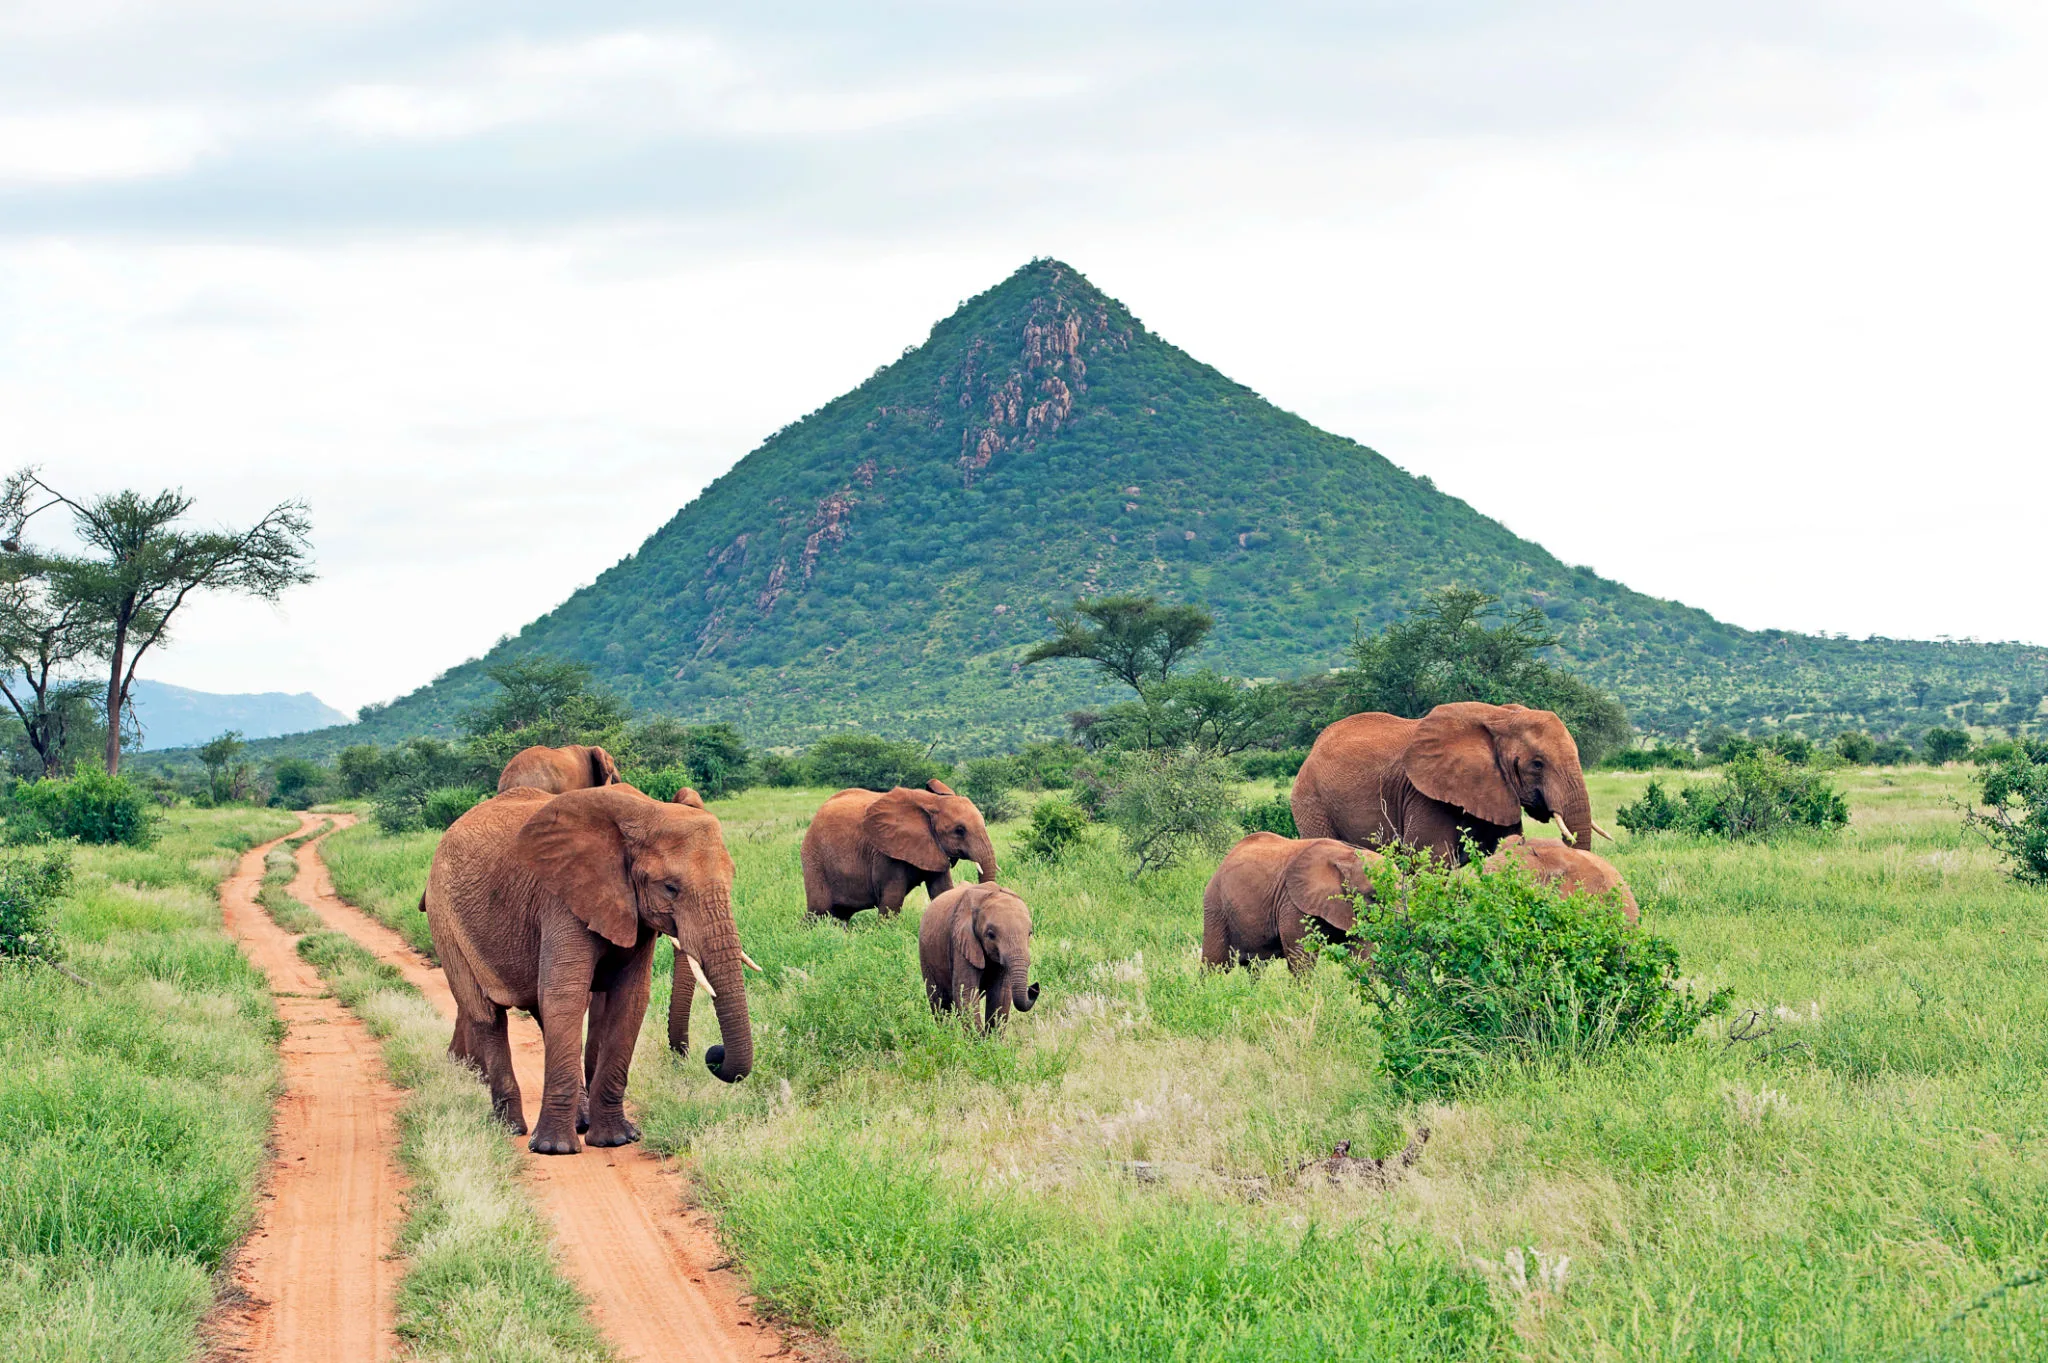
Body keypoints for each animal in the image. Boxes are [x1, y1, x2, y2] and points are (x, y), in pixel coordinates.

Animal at [423, 784, 752, 1155]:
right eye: (670, 888)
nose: (713, 1053)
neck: (647, 812)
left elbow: (631, 999)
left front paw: (616, 1140)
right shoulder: (562, 899)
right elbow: (566, 995)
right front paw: (554, 1149)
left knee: (539, 1014)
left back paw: (578, 1122)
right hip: (444, 917)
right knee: (486, 1015)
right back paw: (511, 1129)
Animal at [800, 779, 998, 922]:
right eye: (959, 830)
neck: (932, 801)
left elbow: (942, 890)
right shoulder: (885, 852)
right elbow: (892, 898)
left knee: (839, 914)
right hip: (814, 857)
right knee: (819, 910)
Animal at [919, 882, 1039, 1028]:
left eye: (1030, 933)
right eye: (991, 935)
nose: (1034, 988)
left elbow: (1001, 995)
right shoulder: (961, 942)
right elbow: (966, 993)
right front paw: (977, 1036)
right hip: (925, 955)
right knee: (939, 1002)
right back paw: (946, 1031)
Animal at [1203, 831, 1382, 974]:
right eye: (1373, 897)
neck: (1347, 854)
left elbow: (1363, 954)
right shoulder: (1292, 901)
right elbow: (1301, 957)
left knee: (1255, 966)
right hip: (1216, 907)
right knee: (1214, 966)